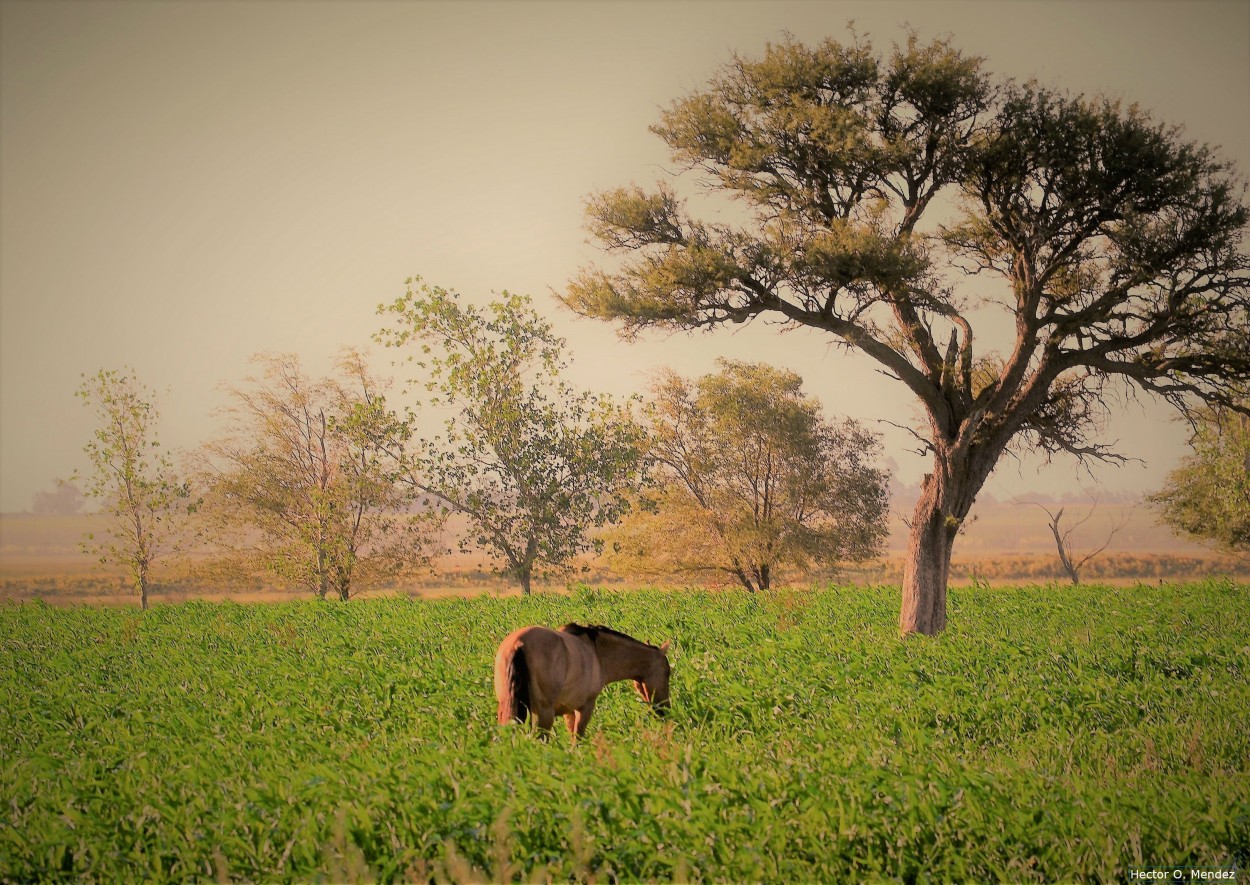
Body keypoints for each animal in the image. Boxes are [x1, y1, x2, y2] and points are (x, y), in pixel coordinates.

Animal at [495, 622, 675, 740]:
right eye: (667, 673)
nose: (665, 710)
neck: (597, 653)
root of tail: (519, 643)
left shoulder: (568, 711)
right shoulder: (585, 707)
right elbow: (578, 737)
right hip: (544, 714)